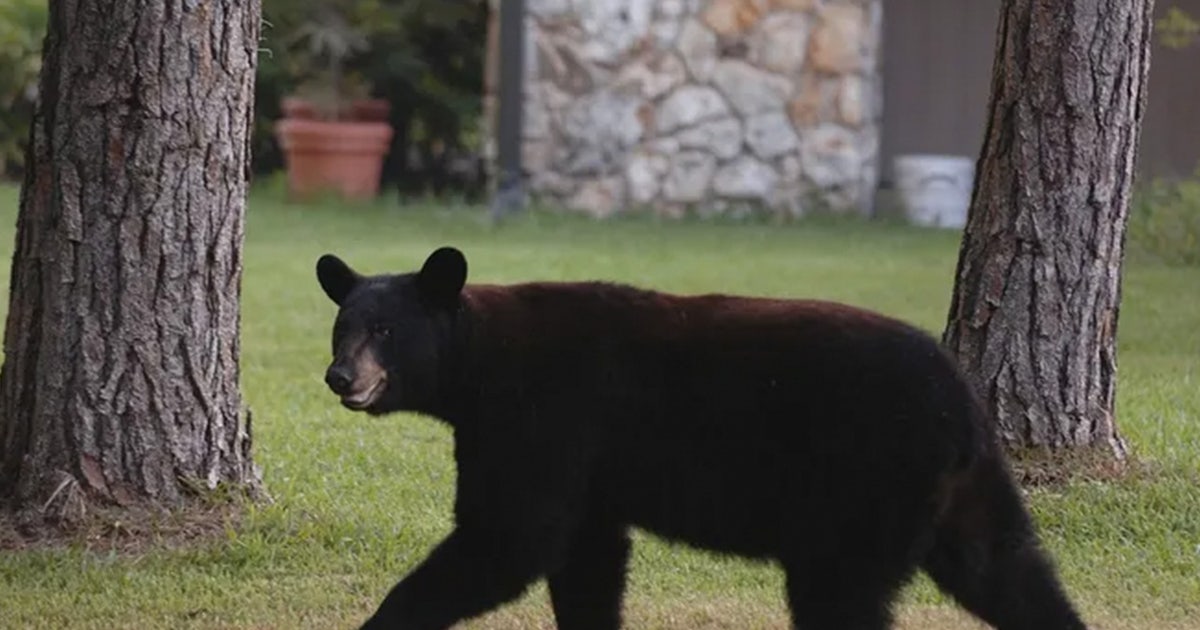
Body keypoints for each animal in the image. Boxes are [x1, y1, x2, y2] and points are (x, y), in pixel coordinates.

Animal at [315, 246, 1087, 630]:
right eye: (341, 326)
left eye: (384, 330)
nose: (339, 375)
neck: (477, 366)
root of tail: (959, 398)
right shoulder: (589, 471)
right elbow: (588, 561)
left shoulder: (540, 420)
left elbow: (510, 536)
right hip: (966, 491)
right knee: (1012, 573)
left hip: (863, 488)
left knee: (842, 598)